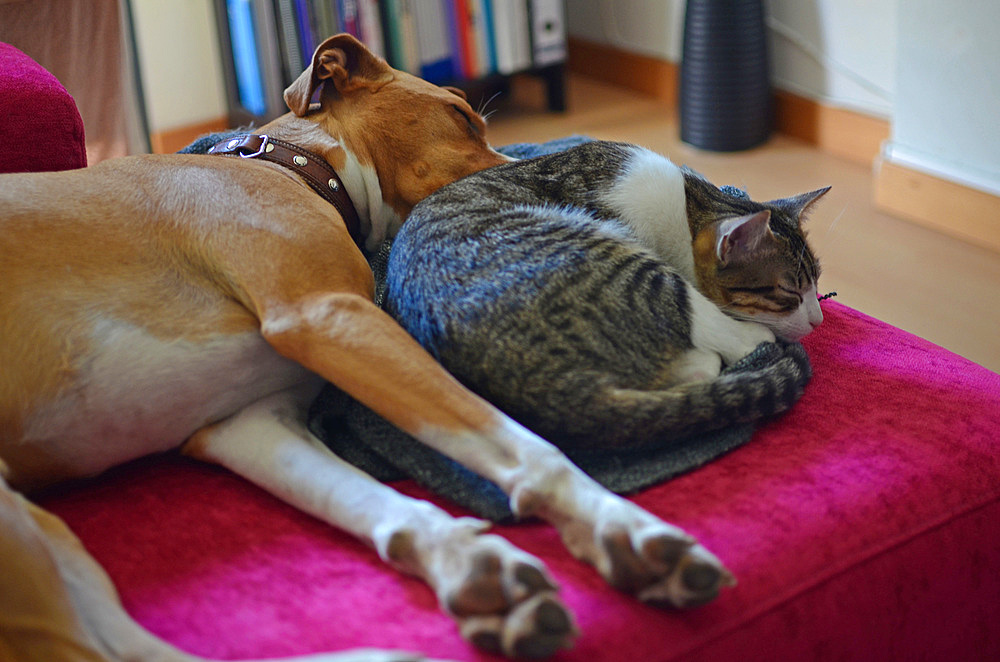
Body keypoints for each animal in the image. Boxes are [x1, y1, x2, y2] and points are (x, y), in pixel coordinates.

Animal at [1, 37, 736, 662]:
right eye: (461, 115)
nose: (540, 180)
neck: (290, 165)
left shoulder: (247, 421)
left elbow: (369, 501)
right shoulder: (330, 316)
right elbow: (528, 449)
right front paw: (624, 530)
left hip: (51, 536)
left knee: (125, 649)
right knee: (73, 648)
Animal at [382, 140, 828, 452]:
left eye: (817, 283)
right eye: (790, 290)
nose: (817, 319)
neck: (687, 206)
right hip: (623, 266)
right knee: (715, 337)